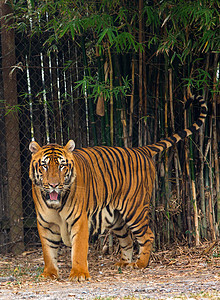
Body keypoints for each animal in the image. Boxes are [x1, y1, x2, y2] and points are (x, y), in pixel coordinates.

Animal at [29, 94, 208, 282]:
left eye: (62, 166)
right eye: (44, 166)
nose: (54, 185)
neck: (56, 205)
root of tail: (140, 150)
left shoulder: (80, 220)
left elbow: (78, 250)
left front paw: (78, 274)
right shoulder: (45, 223)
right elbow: (48, 251)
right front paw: (49, 273)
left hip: (135, 210)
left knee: (147, 235)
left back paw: (140, 263)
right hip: (115, 218)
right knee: (127, 239)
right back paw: (124, 263)